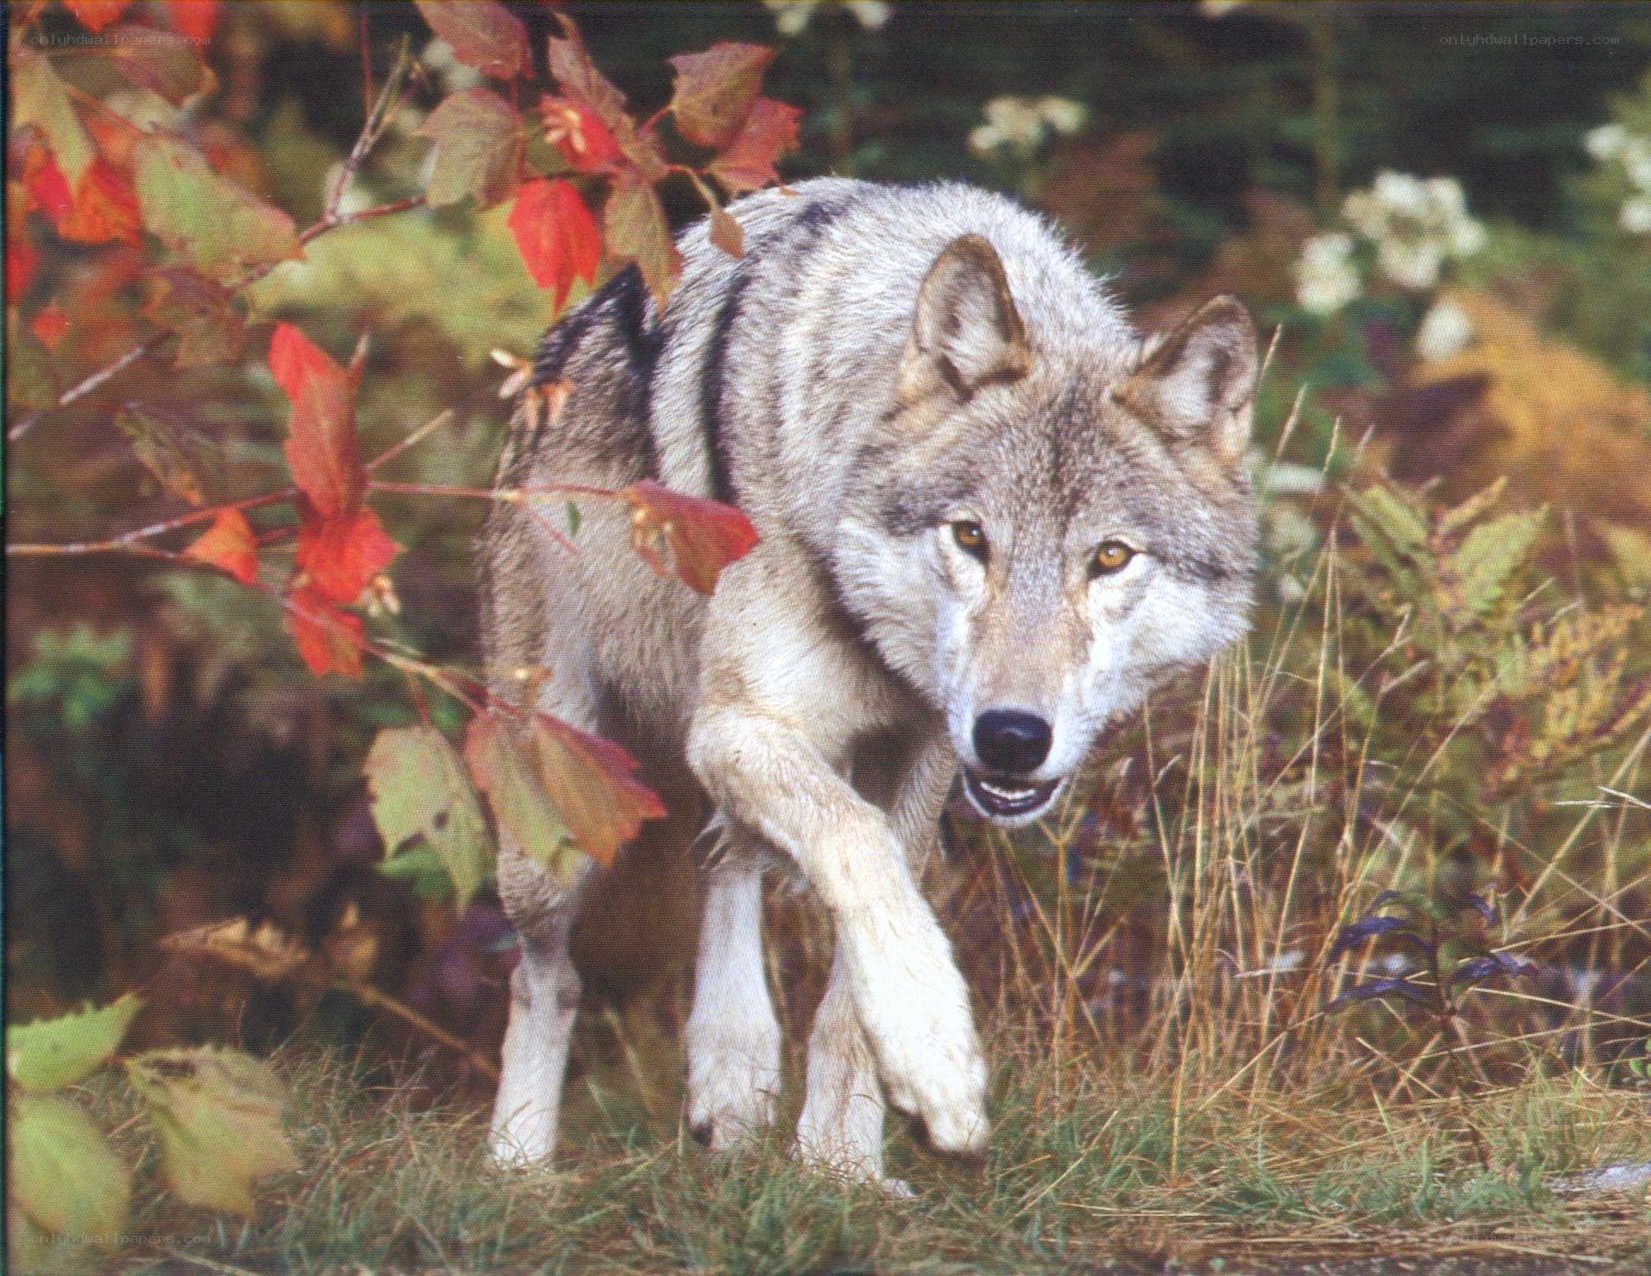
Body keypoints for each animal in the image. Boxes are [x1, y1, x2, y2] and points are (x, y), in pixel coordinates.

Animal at [480, 177, 1259, 1186]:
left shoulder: (920, 756)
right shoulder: (737, 726)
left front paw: (840, 1166)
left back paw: (731, 1083)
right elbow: (857, 851)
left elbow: (855, 966)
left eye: (1110, 557)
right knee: (548, 973)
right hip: (558, 821)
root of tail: (550, 357)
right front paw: (934, 1056)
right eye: (970, 537)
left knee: (726, 865)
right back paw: (516, 1163)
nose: (1013, 736)